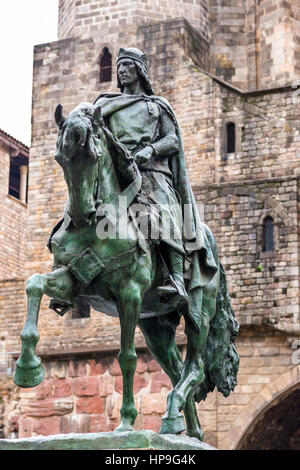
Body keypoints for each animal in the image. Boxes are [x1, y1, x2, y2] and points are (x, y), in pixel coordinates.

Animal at [14, 102, 239, 440]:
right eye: (60, 157)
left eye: (93, 155)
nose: (80, 215)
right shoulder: (72, 279)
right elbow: (34, 283)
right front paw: (27, 367)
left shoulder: (129, 293)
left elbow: (127, 357)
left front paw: (126, 420)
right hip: (156, 325)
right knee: (176, 369)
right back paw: (187, 428)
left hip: (199, 311)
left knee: (194, 367)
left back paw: (174, 413)